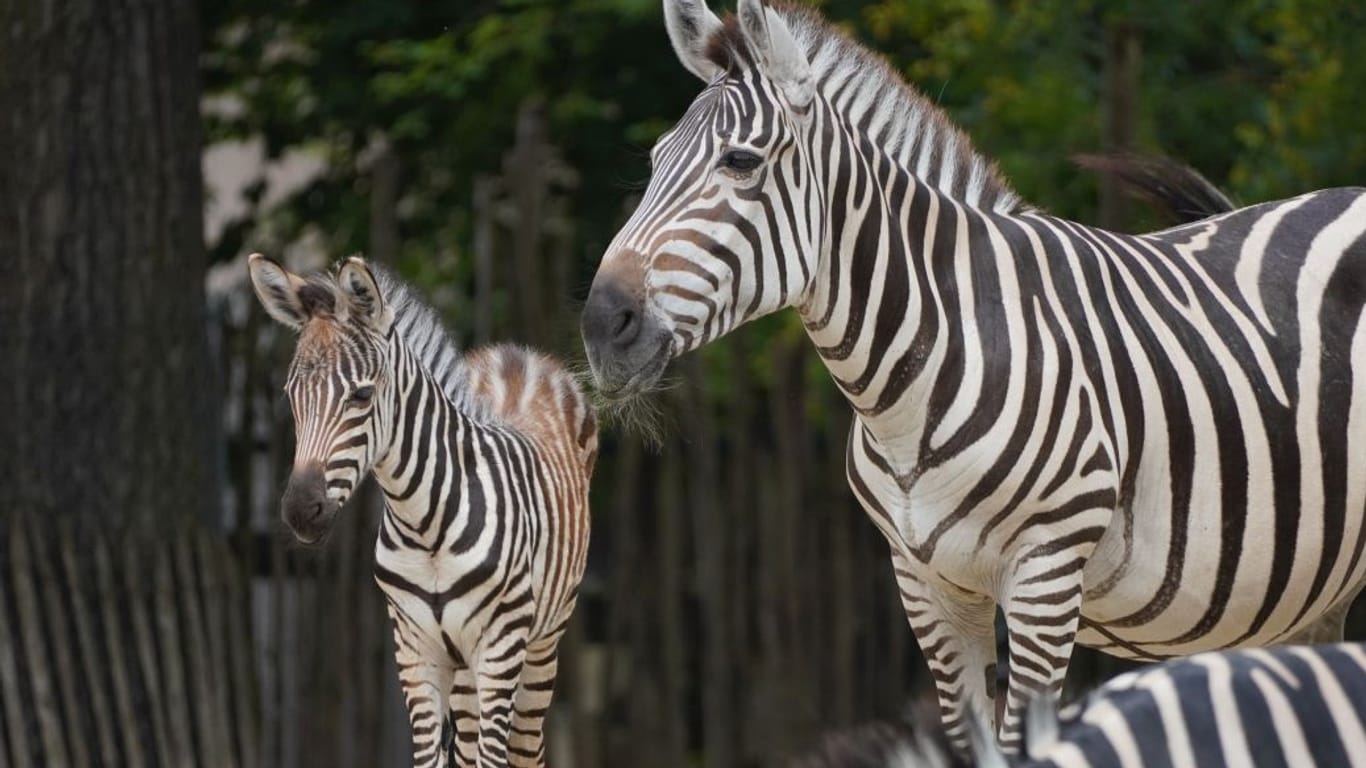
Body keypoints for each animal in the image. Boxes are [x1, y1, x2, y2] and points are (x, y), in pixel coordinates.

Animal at [254, 254, 595, 759]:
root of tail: (517, 355)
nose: (300, 510)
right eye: (291, 395)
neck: (426, 525)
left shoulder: (499, 649)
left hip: (540, 645)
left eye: (361, 395)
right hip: (466, 673)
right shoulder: (416, 652)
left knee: (524, 748)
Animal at [576, 0, 1366, 748]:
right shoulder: (926, 585)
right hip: (1314, 590)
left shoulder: (1046, 575)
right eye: (654, 160)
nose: (601, 325)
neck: (907, 392)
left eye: (740, 162)